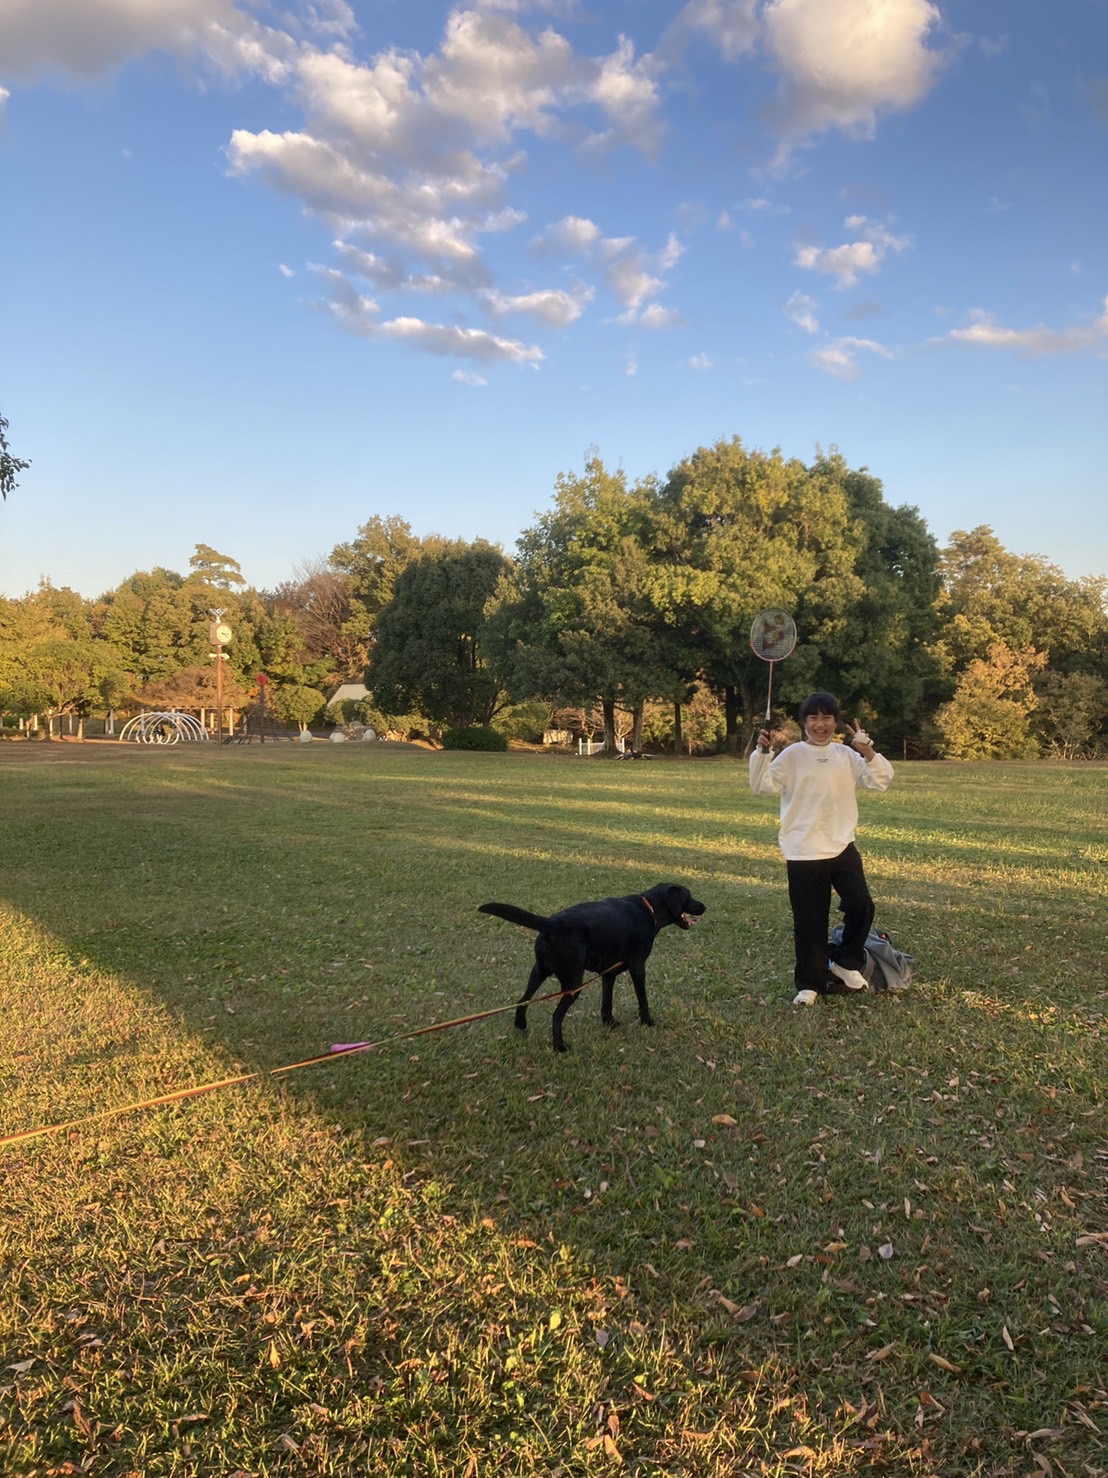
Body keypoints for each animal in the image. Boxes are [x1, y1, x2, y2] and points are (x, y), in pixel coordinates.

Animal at [481, 874, 706, 1052]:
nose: (704, 906)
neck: (649, 909)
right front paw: (648, 1022)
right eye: (689, 896)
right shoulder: (638, 968)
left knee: (523, 999)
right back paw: (559, 1047)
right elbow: (643, 999)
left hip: (539, 971)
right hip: (573, 982)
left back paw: (520, 1025)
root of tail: (550, 923)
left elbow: (606, 1003)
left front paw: (610, 1023)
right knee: (556, 1015)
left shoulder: (609, 973)